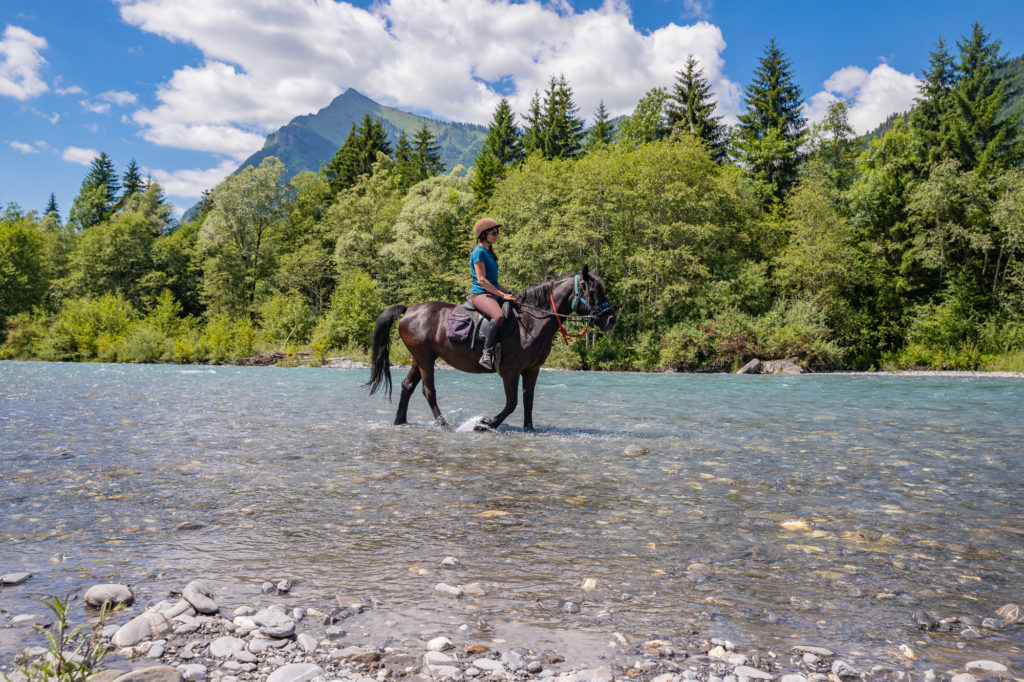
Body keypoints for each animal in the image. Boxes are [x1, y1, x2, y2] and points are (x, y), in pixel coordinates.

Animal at [364, 266, 614, 430]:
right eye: (593, 292)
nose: (611, 319)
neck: (531, 322)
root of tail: (410, 309)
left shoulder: (532, 370)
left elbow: (528, 400)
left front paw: (529, 428)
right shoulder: (510, 370)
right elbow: (512, 403)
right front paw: (486, 423)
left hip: (421, 358)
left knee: (407, 386)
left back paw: (400, 421)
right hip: (425, 359)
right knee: (428, 391)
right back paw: (443, 424)